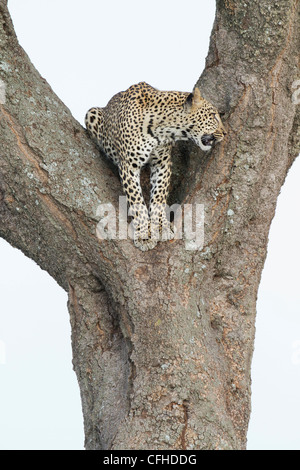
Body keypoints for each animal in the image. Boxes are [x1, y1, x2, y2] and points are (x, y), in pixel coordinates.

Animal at [84, 81, 225, 250]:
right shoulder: (128, 166)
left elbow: (159, 196)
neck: (164, 129)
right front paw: (144, 234)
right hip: (92, 113)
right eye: (213, 116)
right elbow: (137, 201)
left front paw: (161, 227)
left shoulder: (162, 163)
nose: (225, 133)